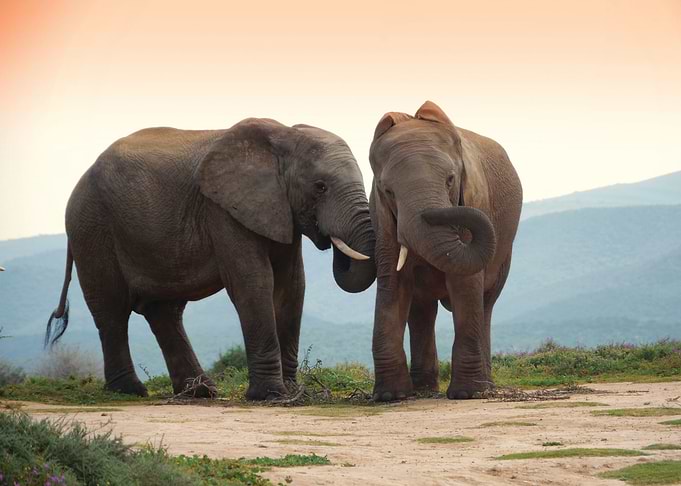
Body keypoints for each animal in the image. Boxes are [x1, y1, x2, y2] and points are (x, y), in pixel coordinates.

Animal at [45, 117, 376, 400]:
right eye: (320, 187)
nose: (330, 240)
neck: (284, 136)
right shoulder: (223, 210)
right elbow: (253, 282)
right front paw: (271, 396)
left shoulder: (280, 211)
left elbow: (291, 288)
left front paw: (293, 393)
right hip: (92, 227)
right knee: (112, 310)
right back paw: (131, 391)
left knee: (163, 311)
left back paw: (200, 392)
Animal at [368, 101, 522, 401]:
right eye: (388, 191)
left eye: (451, 180)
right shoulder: (383, 221)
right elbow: (392, 283)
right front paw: (389, 396)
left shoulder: (476, 198)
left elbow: (466, 284)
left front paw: (467, 394)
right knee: (422, 310)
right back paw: (423, 389)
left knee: (486, 303)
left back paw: (485, 387)